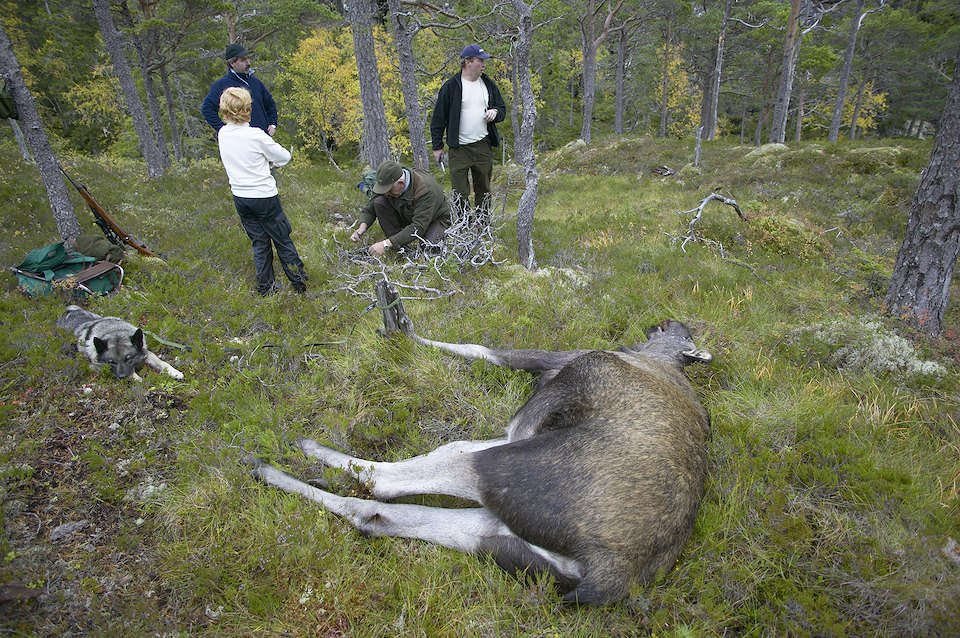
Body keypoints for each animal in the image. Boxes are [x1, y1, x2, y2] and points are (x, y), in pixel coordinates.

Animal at [57, 306, 185, 382]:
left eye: (128, 359)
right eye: (111, 362)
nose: (123, 377)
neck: (115, 333)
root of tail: (69, 311)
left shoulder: (146, 353)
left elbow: (162, 362)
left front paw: (174, 372)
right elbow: (132, 373)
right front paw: (139, 380)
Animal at [248, 296, 712, 604]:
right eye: (683, 330)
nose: (665, 318)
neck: (659, 358)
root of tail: (612, 574)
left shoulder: (559, 371)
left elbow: (484, 352)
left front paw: (402, 329)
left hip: (503, 469)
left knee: (394, 481)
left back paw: (300, 455)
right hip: (506, 537)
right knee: (383, 514)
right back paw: (276, 469)